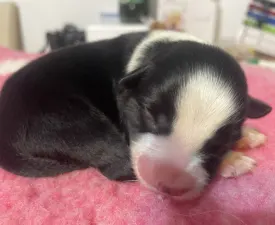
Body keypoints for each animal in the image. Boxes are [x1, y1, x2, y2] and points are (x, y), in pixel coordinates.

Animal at [0, 30, 272, 200]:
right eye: (149, 113)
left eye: (220, 141)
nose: (168, 183)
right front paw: (233, 158)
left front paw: (246, 135)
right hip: (65, 121)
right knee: (118, 166)